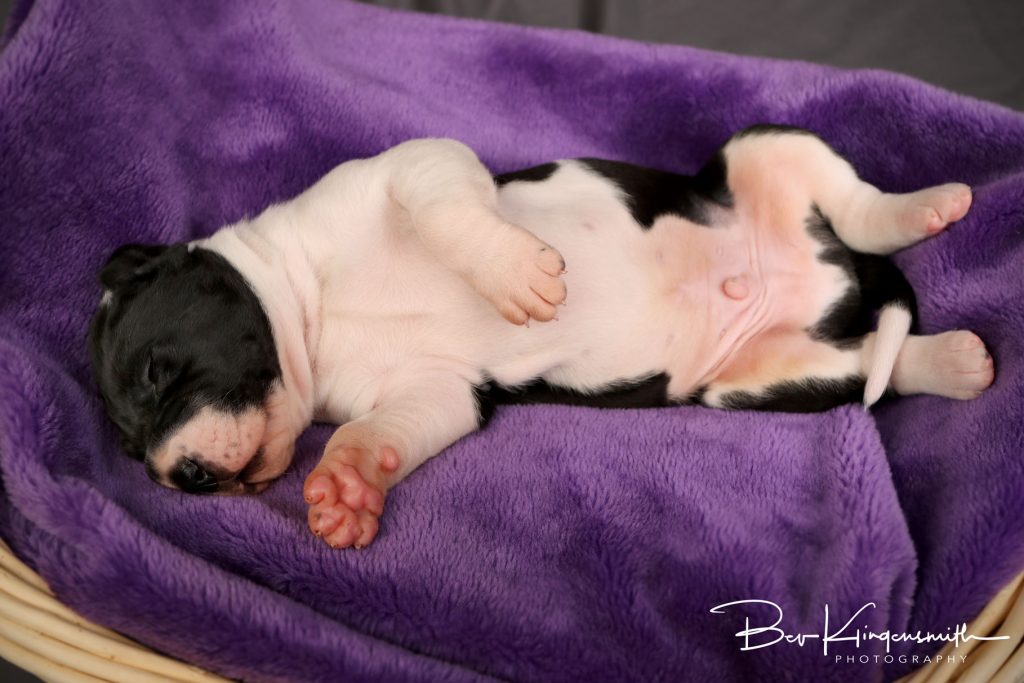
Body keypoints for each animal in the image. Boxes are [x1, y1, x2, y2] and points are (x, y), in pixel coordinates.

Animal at [88, 126, 991, 548]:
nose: (179, 475)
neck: (314, 311)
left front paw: (514, 273)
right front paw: (344, 488)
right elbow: (372, 434)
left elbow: (445, 208)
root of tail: (828, 273)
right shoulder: (435, 390)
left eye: (156, 372)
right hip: (762, 379)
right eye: (130, 453)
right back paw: (954, 358)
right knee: (879, 360)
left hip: (765, 151)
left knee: (861, 202)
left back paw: (932, 202)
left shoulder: (411, 166)